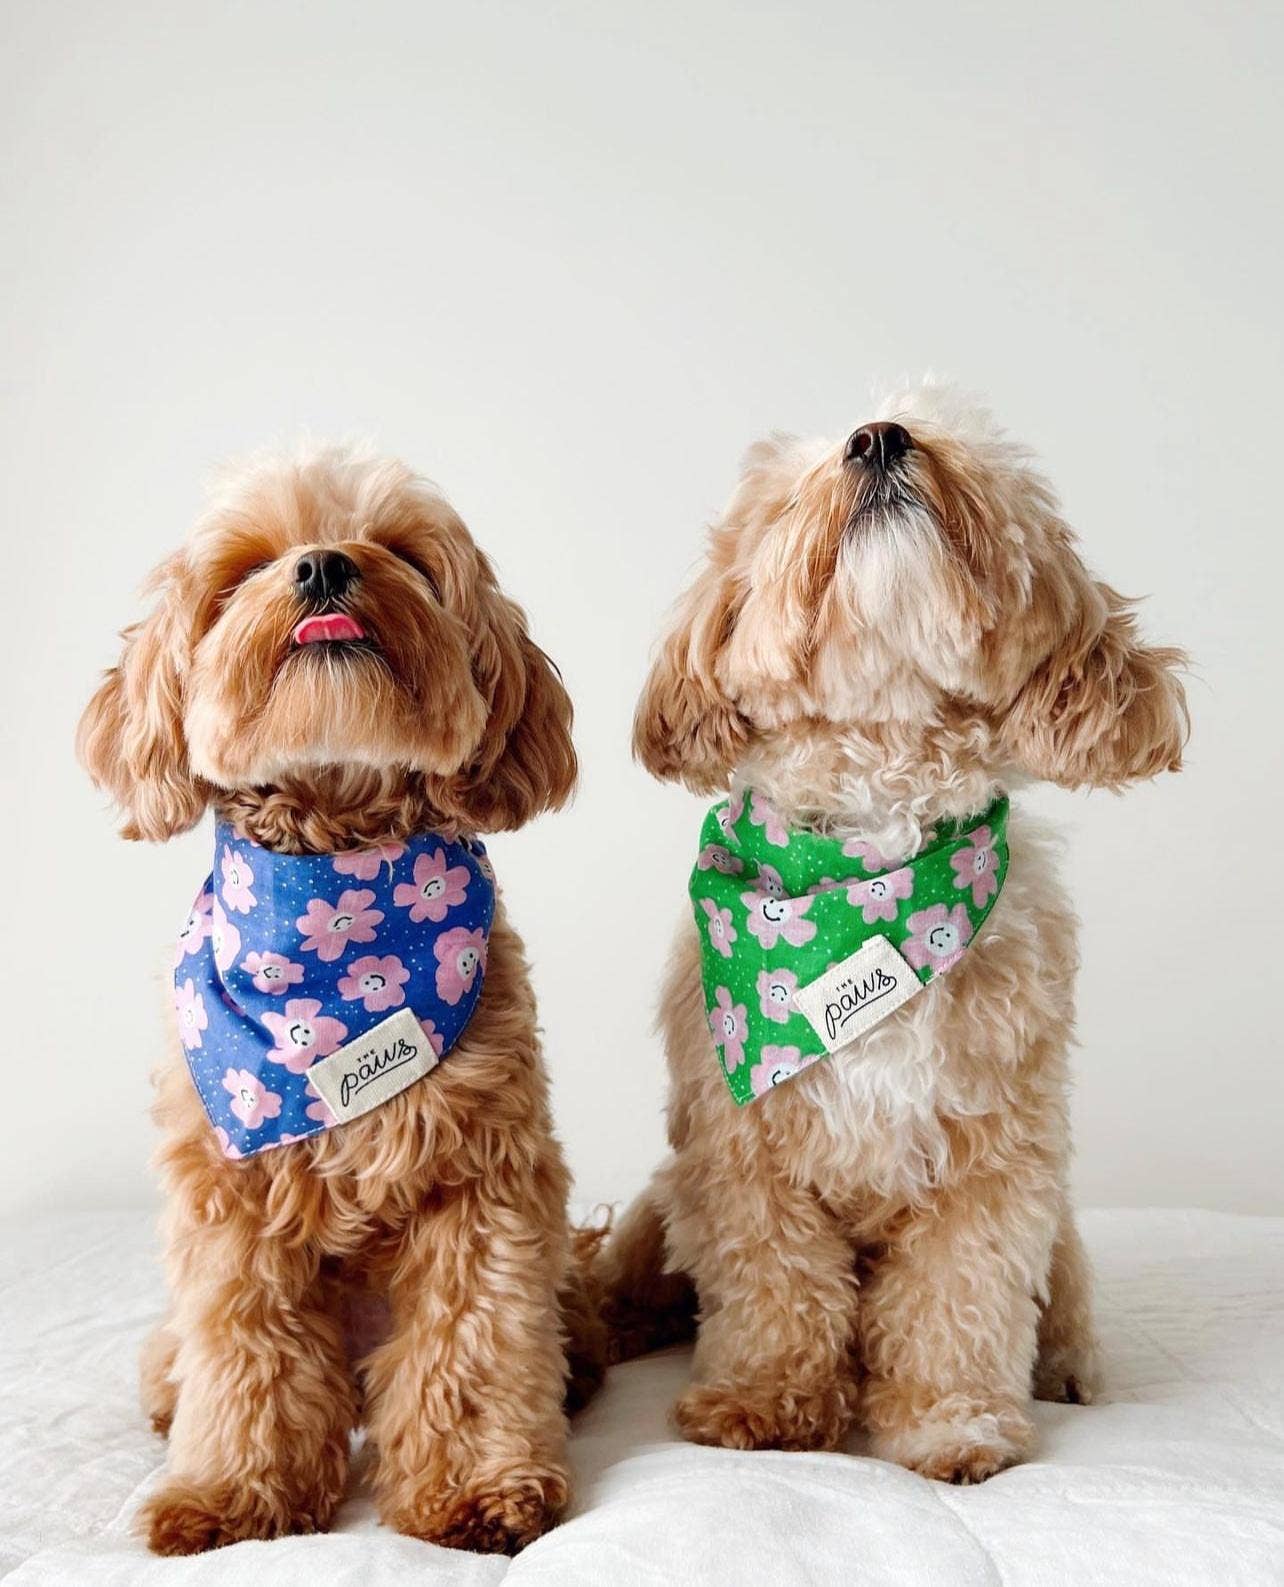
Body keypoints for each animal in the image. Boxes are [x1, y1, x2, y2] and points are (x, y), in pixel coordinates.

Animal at [77, 444, 603, 1548]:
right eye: (244, 569)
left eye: (400, 551)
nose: (322, 567)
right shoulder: (229, 1203)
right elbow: (251, 1358)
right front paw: (234, 1494)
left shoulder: (478, 1184)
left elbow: (473, 1341)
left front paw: (477, 1488)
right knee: (193, 1360)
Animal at [596, 384, 1187, 1485]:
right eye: (794, 490)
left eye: (980, 464)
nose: (878, 439)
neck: (863, 880)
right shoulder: (743, 1156)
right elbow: (774, 1286)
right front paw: (763, 1404)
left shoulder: (994, 1156)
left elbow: (959, 1294)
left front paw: (953, 1421)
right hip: (665, 1198)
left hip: (1059, 1229)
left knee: (1060, 1294)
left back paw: (1068, 1366)